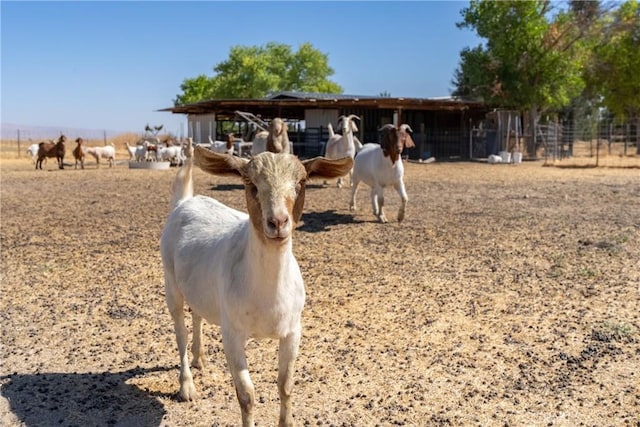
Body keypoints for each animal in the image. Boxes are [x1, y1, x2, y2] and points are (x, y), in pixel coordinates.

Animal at [159, 139, 350, 426]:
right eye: (250, 184)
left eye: (301, 182)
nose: (278, 221)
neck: (267, 294)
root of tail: (185, 202)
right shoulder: (232, 334)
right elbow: (246, 395)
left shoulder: (293, 330)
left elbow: (286, 385)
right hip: (170, 281)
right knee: (179, 329)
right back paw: (187, 386)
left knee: (198, 314)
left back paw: (199, 358)